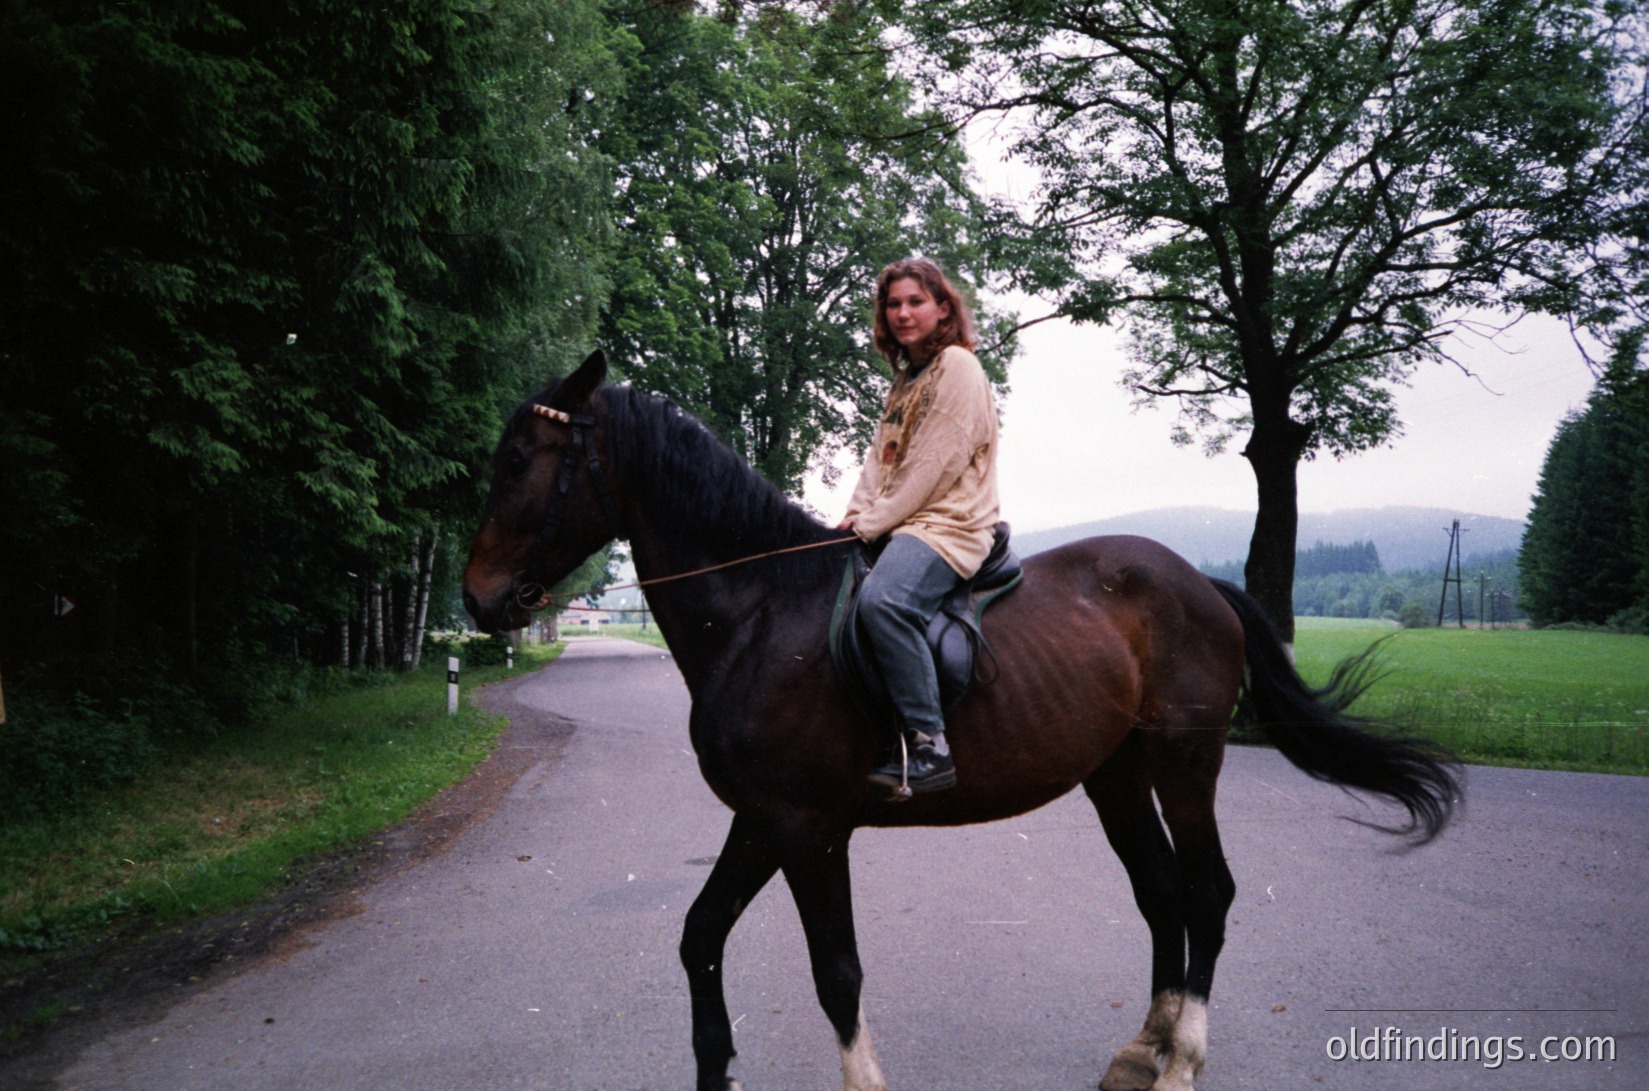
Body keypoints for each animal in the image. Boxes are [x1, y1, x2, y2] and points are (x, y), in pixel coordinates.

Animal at [461, 350, 1459, 1091]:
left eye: (518, 463)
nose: (476, 598)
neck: (762, 613)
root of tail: (1198, 584)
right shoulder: (764, 819)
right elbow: (699, 936)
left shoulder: (809, 827)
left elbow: (837, 972)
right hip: (1116, 774)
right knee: (1162, 893)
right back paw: (1142, 1048)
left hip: (1184, 762)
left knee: (1206, 892)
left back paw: (1181, 1062)